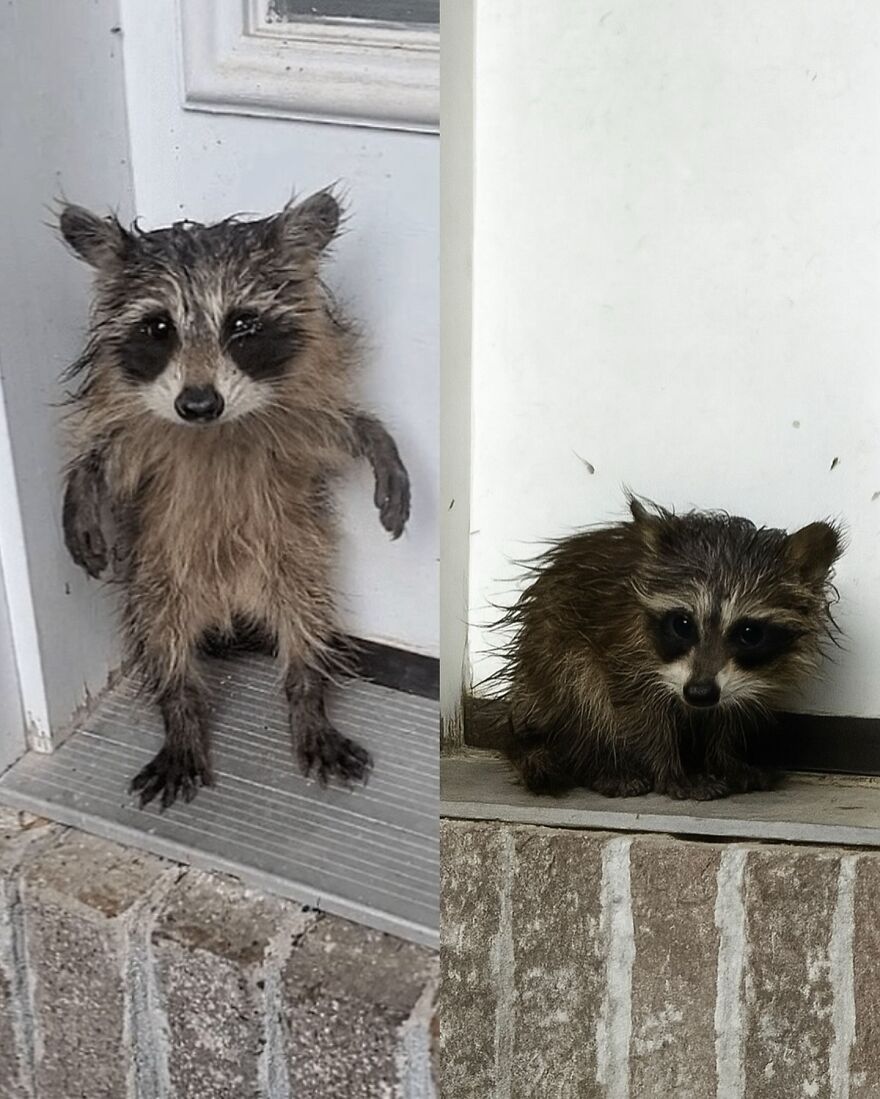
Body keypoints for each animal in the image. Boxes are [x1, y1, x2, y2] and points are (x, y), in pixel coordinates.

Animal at [59, 190, 410, 809]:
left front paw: (378, 441)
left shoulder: (296, 422)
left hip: (293, 558)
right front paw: (81, 486)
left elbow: (342, 428)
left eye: (242, 323)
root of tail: (230, 608)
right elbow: (105, 456)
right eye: (158, 327)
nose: (198, 405)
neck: (215, 432)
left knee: (307, 622)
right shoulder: (140, 435)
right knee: (161, 636)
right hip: (160, 572)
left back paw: (307, 696)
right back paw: (180, 712)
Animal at [498, 495, 843, 800]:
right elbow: (640, 713)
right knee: (580, 687)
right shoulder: (625, 649)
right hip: (549, 656)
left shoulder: (739, 679)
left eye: (748, 633)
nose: (699, 694)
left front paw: (724, 759)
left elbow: (725, 715)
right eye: (683, 625)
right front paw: (669, 770)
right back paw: (596, 762)